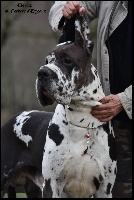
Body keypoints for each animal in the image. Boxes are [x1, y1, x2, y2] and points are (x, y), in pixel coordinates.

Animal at [0, 14, 116, 198]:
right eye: (47, 61)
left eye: (67, 60)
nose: (42, 72)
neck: (82, 120)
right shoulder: (52, 186)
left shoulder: (105, 189)